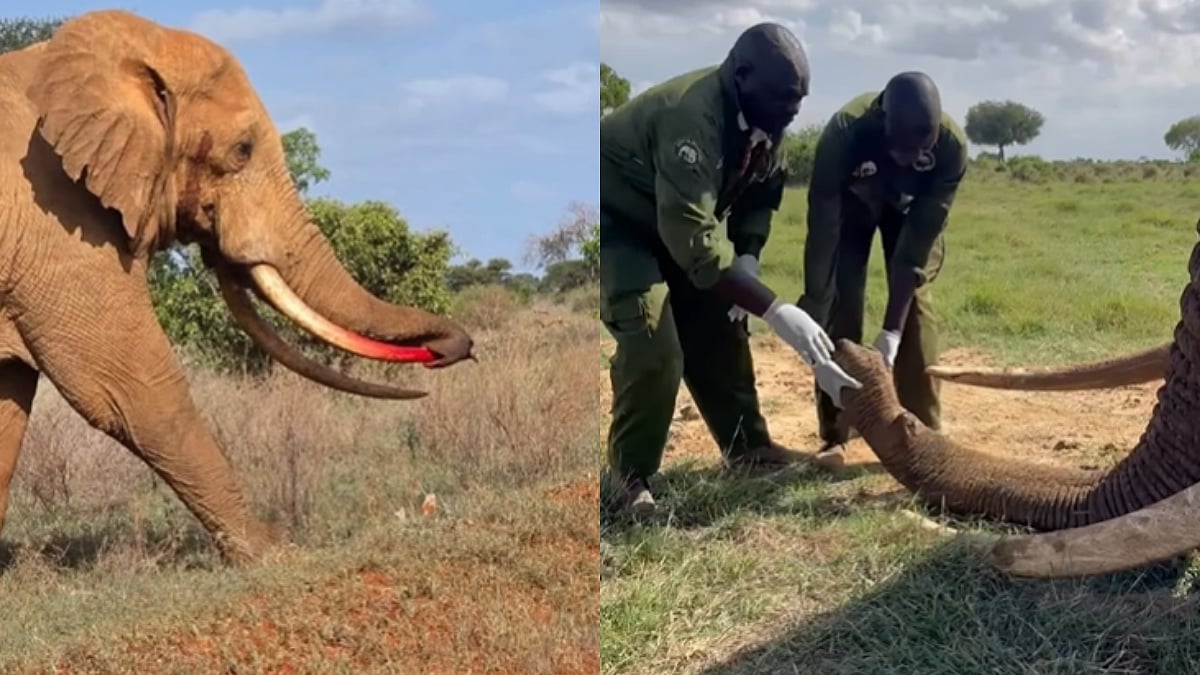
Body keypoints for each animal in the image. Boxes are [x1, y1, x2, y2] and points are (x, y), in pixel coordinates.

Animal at [0, 10, 476, 565]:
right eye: (243, 150)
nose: (455, 348)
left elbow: (10, 402)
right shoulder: (55, 220)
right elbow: (127, 386)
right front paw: (275, 552)